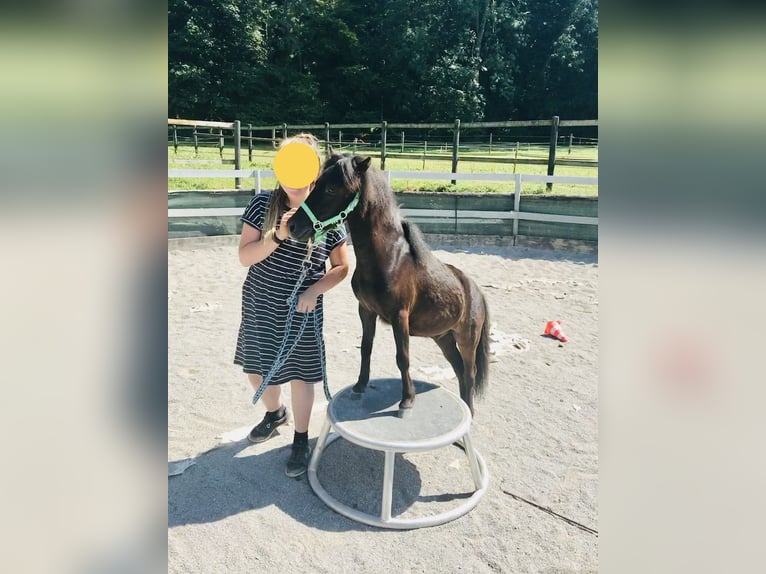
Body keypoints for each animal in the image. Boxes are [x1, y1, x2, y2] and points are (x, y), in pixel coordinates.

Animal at [288, 153, 492, 414]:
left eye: (332, 189)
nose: (293, 226)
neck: (388, 260)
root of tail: (476, 292)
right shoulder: (366, 311)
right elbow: (366, 348)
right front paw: (359, 386)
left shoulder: (400, 316)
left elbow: (402, 357)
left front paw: (407, 400)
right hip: (443, 337)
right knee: (459, 369)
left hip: (467, 339)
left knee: (469, 372)